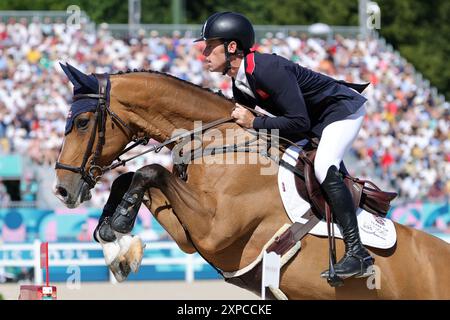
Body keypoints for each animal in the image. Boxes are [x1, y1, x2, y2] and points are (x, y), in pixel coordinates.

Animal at [54, 65, 448, 300]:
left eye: (83, 123)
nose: (61, 189)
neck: (216, 141)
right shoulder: (192, 237)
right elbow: (132, 177)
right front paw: (116, 246)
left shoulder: (215, 229)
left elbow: (150, 171)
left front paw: (119, 228)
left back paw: (354, 262)